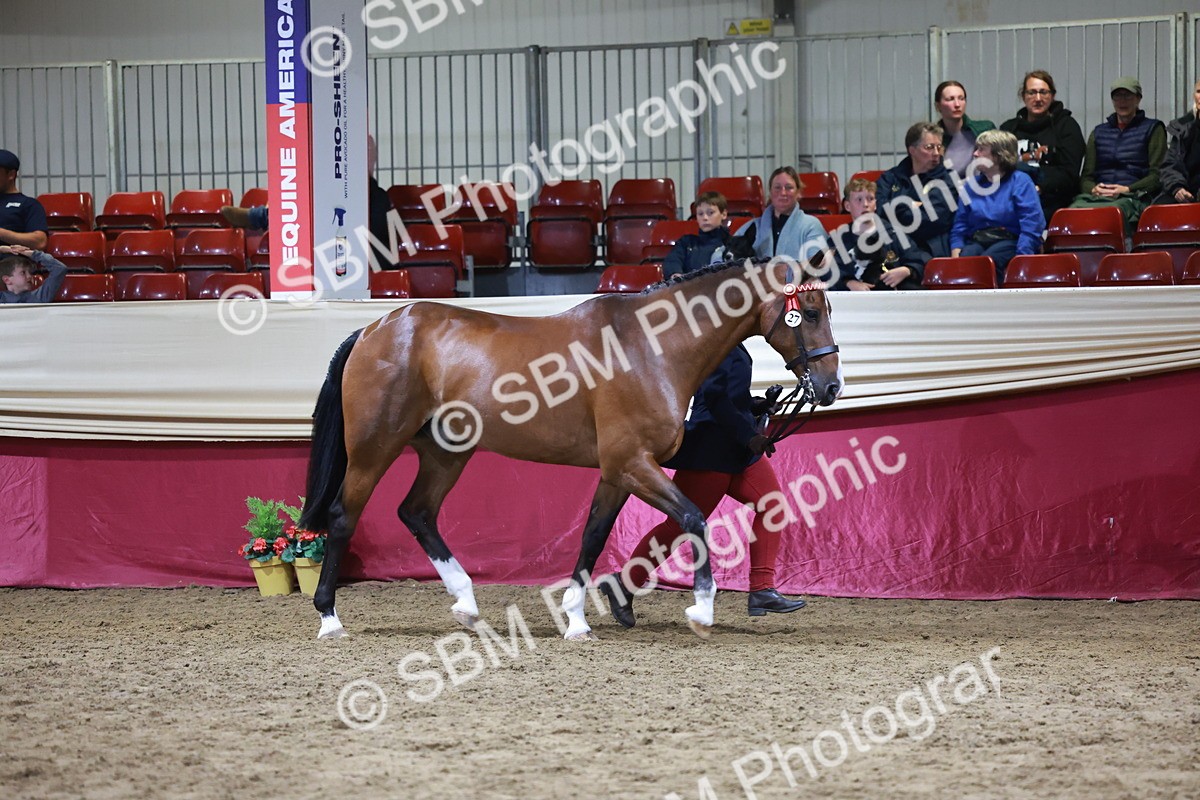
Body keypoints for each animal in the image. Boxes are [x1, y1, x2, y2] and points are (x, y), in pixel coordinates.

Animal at [298, 258, 842, 640]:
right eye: (811, 313)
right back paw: (329, 618)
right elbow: (693, 519)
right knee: (345, 516)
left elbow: (594, 537)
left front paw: (578, 620)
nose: (832, 385)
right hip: (374, 449)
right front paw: (701, 610)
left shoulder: (617, 472)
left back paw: (467, 604)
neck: (651, 347)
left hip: (445, 452)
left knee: (417, 512)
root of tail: (374, 329)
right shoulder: (632, 464)